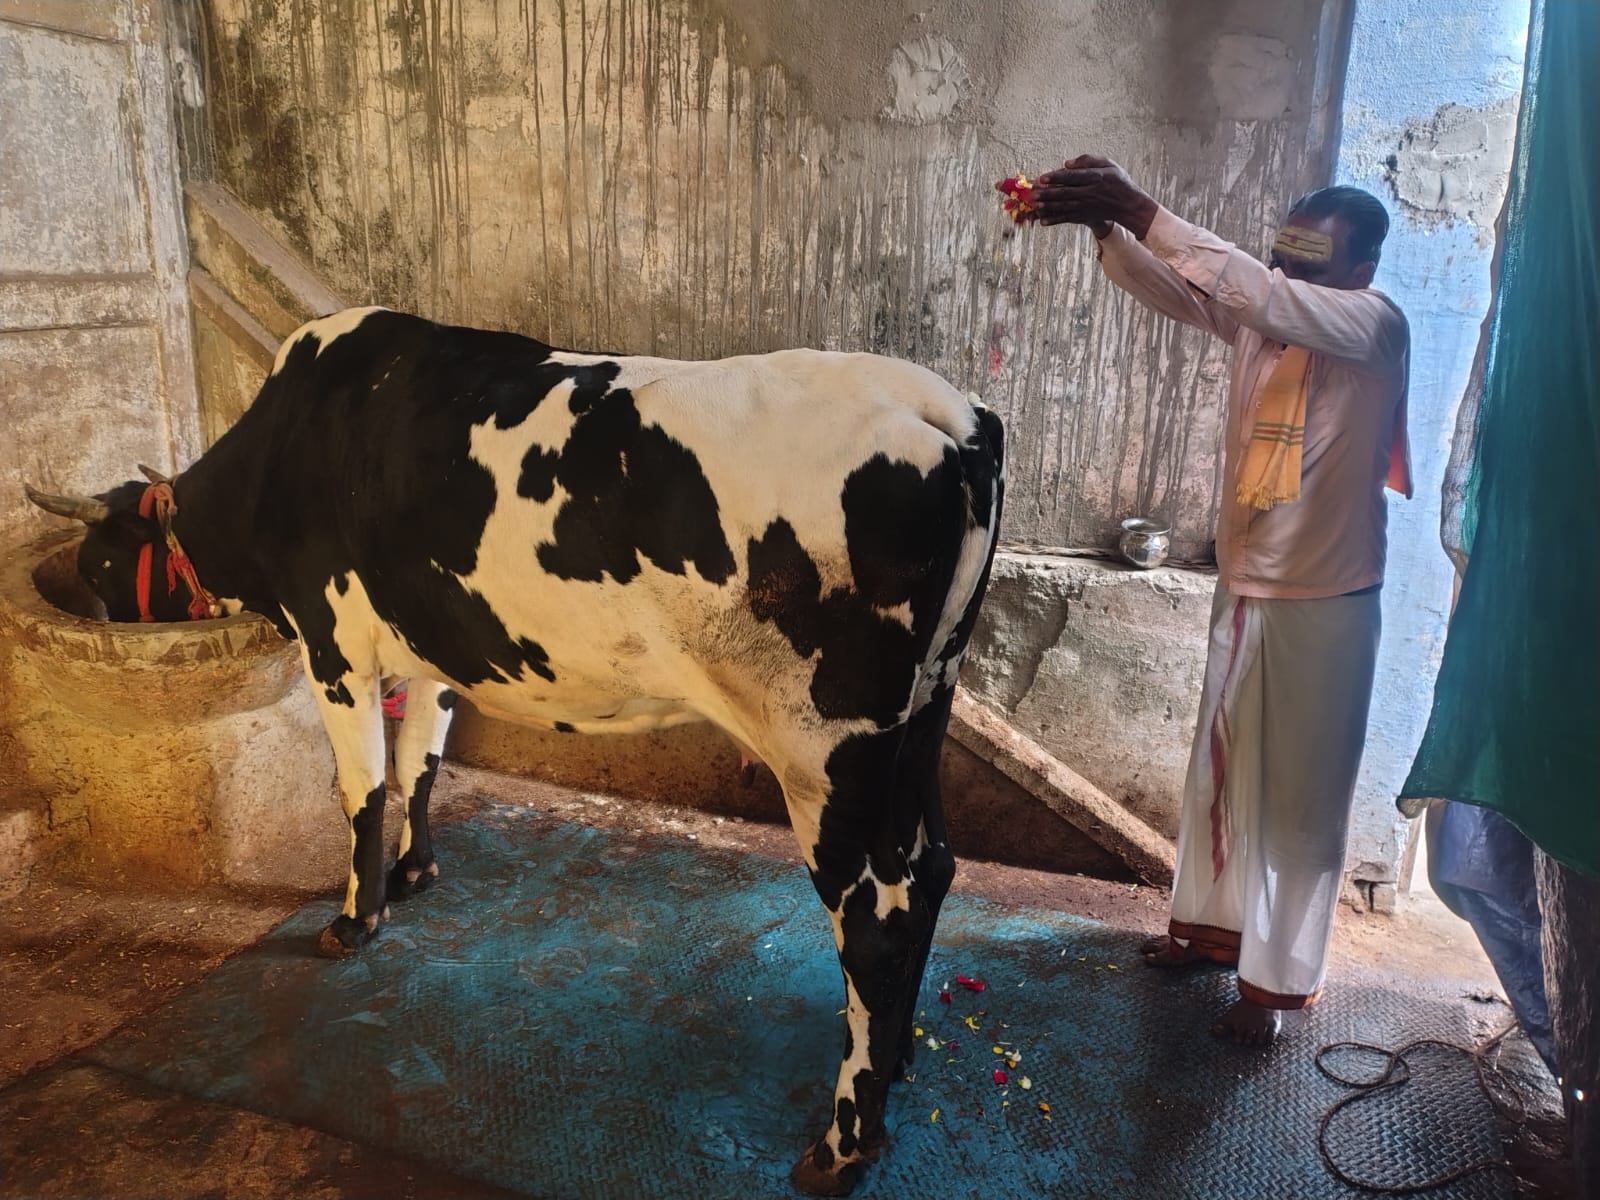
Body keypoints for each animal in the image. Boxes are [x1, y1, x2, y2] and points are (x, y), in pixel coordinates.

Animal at [26, 306, 1004, 1195]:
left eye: (102, 560)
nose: (92, 606)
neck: (289, 441)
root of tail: (944, 411)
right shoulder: (428, 646)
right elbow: (420, 760)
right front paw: (416, 874)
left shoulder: (333, 642)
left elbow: (361, 787)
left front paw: (355, 920)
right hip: (928, 706)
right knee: (933, 868)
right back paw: (897, 1062)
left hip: (824, 748)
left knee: (876, 920)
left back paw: (842, 1145)